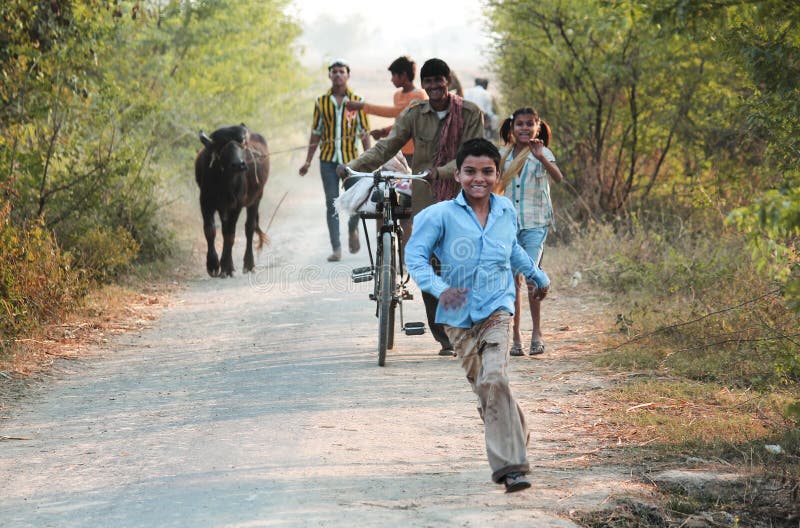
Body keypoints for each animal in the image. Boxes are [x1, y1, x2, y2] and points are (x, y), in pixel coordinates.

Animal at [195, 124, 270, 276]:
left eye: (241, 145)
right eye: (222, 147)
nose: (239, 164)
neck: (224, 183)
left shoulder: (236, 206)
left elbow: (230, 235)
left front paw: (226, 267)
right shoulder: (205, 202)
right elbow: (210, 230)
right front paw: (213, 265)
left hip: (256, 198)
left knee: (249, 228)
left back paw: (249, 264)